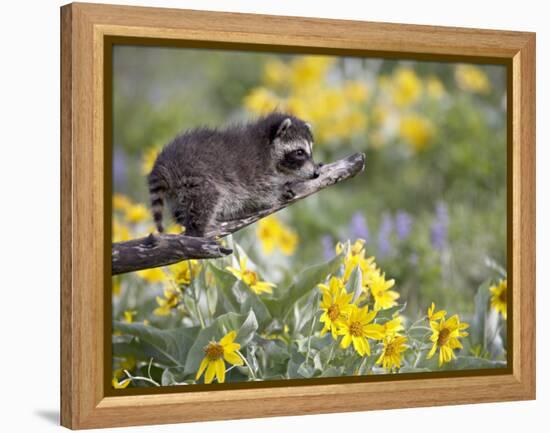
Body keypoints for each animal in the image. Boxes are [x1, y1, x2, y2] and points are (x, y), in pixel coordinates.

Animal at [148, 111, 324, 236]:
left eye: (310, 151)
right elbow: (261, 195)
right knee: (209, 197)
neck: (267, 145)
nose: (315, 174)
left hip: (176, 192)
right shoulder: (255, 172)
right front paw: (279, 190)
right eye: (299, 152)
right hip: (195, 176)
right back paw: (199, 229)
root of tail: (165, 163)